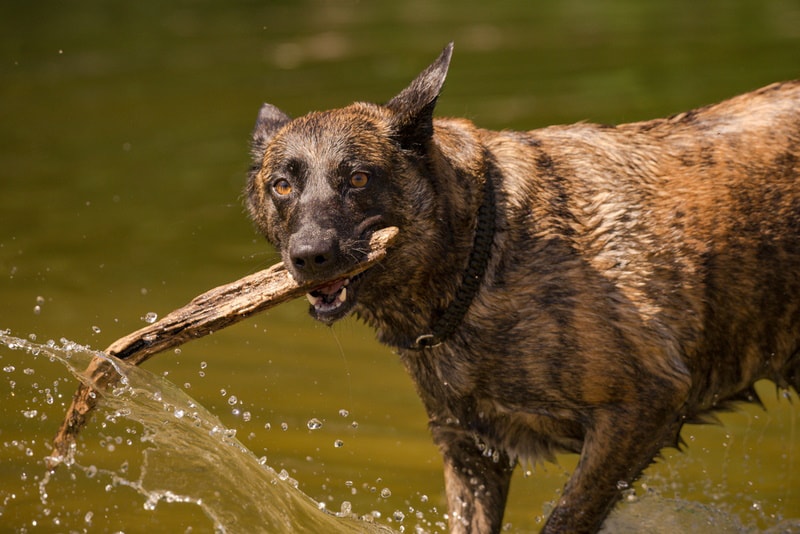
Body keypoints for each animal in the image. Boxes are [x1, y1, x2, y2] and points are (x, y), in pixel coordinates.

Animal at [244, 44, 800, 532]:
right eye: (282, 186)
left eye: (359, 179)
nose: (309, 256)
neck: (478, 252)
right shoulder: (470, 452)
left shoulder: (642, 409)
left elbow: (565, 519)